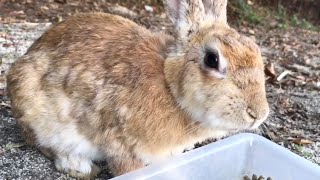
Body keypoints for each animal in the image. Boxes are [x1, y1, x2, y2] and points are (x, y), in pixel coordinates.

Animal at [6, 0, 268, 179]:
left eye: (257, 50)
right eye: (212, 59)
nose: (258, 114)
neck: (170, 86)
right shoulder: (119, 140)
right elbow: (128, 167)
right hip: (35, 111)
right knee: (46, 146)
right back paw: (79, 166)